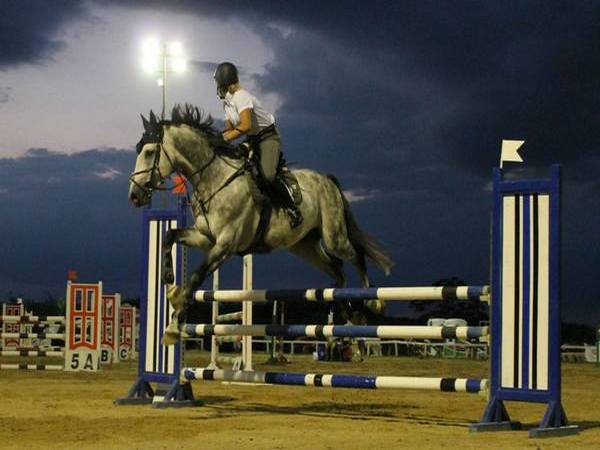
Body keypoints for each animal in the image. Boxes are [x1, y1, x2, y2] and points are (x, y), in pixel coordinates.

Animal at [129, 105, 394, 344]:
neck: (214, 179)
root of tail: (327, 179)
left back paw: (372, 301)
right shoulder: (205, 237)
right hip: (304, 246)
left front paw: (173, 324)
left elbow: (196, 277)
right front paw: (168, 279)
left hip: (334, 236)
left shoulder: (226, 245)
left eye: (150, 152)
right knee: (337, 272)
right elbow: (169, 236)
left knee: (356, 255)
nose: (134, 196)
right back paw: (349, 314)